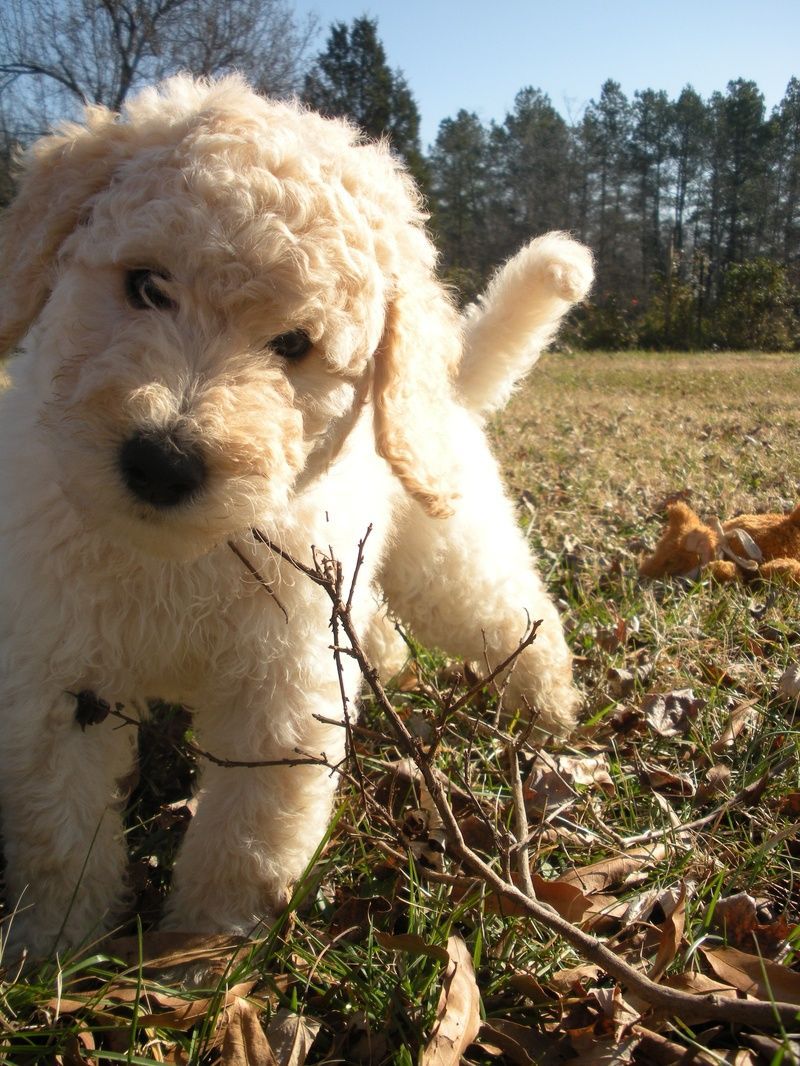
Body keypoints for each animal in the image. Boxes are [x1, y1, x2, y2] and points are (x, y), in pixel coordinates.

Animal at [0, 75, 597, 959]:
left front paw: (202, 953)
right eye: (146, 285)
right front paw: (51, 953)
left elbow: (248, 834)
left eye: (293, 344)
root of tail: (446, 387)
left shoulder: (280, 692)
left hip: (449, 551)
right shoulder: (52, 672)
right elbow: (56, 828)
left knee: (513, 614)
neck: (177, 553)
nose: (162, 461)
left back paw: (551, 712)